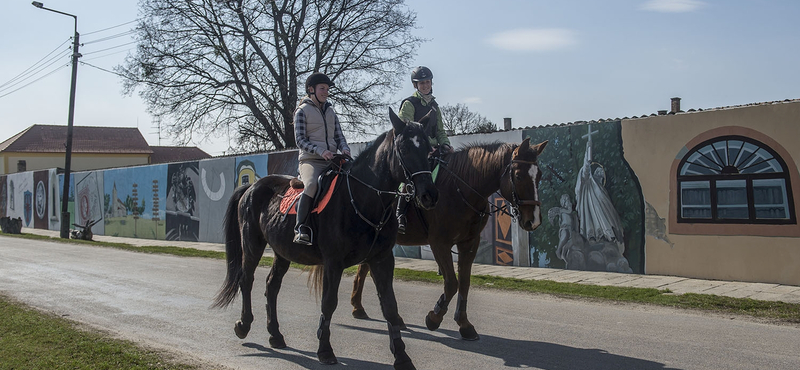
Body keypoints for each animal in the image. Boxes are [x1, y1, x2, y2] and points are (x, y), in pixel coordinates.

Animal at [212, 110, 438, 370]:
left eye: (428, 150)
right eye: (405, 148)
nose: (429, 195)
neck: (361, 199)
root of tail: (252, 187)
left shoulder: (381, 260)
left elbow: (390, 306)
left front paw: (402, 357)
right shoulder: (333, 262)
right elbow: (329, 303)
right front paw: (325, 350)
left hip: (282, 252)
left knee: (272, 286)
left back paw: (275, 334)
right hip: (252, 244)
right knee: (246, 280)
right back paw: (244, 325)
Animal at [346, 138, 548, 342]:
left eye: (539, 175)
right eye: (518, 176)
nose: (534, 220)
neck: (460, 189)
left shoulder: (469, 243)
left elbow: (464, 283)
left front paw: (464, 325)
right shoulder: (439, 244)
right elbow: (451, 283)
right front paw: (434, 318)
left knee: (365, 270)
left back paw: (361, 308)